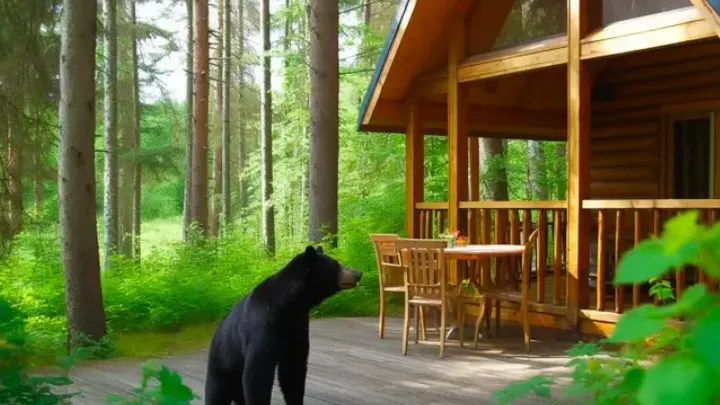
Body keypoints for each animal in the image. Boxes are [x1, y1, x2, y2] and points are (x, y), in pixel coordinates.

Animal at [204, 245, 363, 405]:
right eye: (336, 265)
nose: (358, 273)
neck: (289, 306)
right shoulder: (262, 328)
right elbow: (257, 373)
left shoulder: (297, 326)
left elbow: (293, 370)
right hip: (223, 362)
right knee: (215, 392)